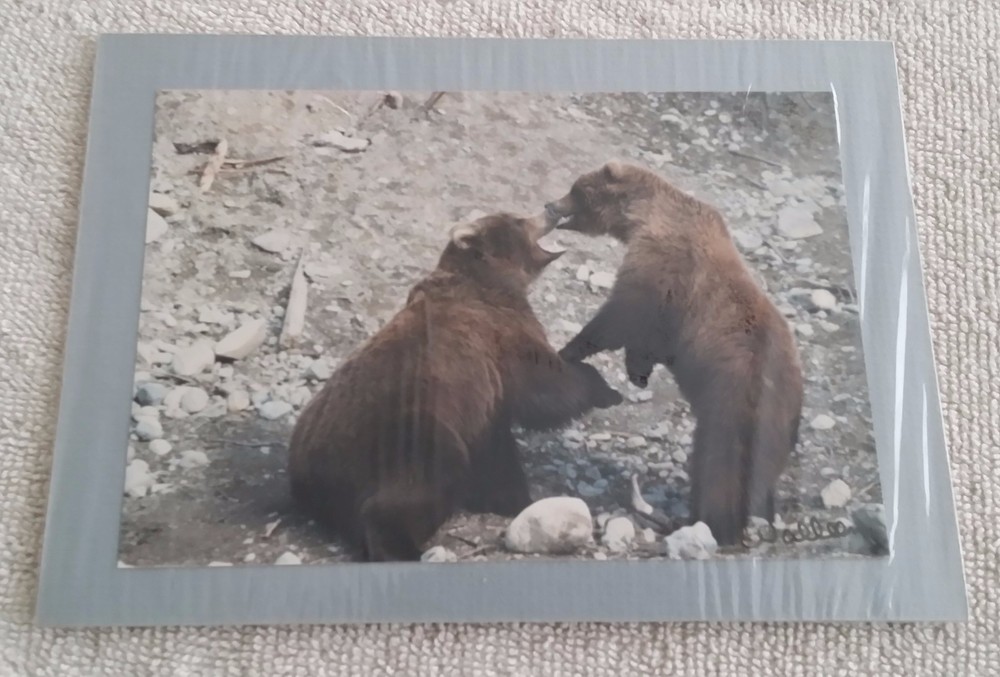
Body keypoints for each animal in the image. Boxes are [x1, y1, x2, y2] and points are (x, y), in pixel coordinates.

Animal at [287, 211, 623, 562]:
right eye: (518, 219)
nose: (551, 211)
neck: (493, 281)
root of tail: (310, 474)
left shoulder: (485, 402)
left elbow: (497, 450)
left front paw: (509, 497)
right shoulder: (499, 335)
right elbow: (545, 384)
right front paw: (606, 389)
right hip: (402, 433)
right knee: (421, 480)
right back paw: (404, 547)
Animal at [544, 161, 804, 546]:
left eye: (576, 188)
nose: (550, 205)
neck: (644, 216)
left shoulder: (661, 265)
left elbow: (621, 315)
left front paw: (571, 348)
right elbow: (648, 340)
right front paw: (638, 372)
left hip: (730, 403)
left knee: (717, 466)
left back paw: (708, 520)